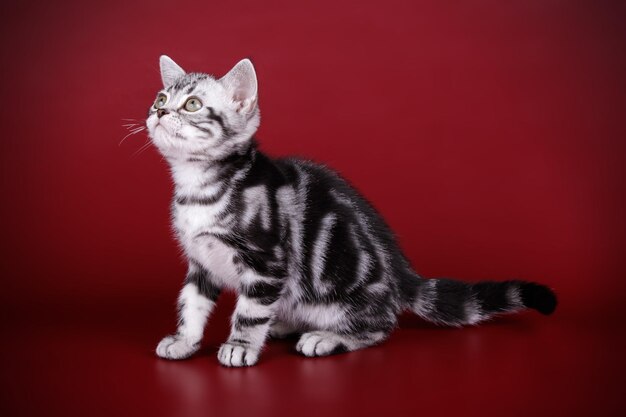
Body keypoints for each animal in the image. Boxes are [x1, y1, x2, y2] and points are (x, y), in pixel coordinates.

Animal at [147, 56, 556, 368]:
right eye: (160, 97)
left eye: (192, 104)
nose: (160, 111)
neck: (199, 187)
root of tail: (402, 274)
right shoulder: (201, 263)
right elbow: (192, 304)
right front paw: (184, 341)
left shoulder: (267, 262)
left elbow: (249, 312)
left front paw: (240, 345)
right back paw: (285, 324)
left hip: (343, 295)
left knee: (380, 327)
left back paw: (325, 338)